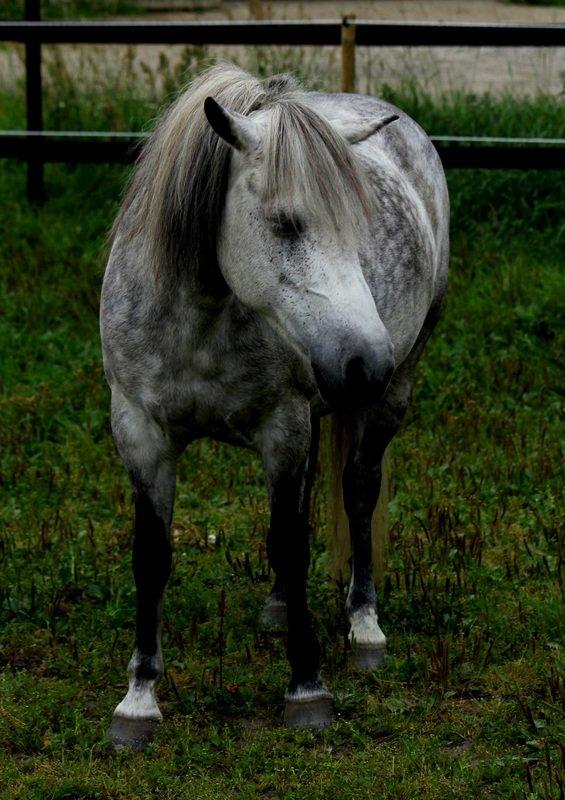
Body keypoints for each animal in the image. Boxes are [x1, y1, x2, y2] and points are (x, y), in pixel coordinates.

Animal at [99, 64, 448, 752]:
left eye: (360, 224)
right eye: (286, 224)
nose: (369, 360)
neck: (201, 319)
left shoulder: (281, 429)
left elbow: (290, 538)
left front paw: (306, 687)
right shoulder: (140, 432)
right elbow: (152, 557)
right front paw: (139, 699)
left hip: (391, 395)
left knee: (357, 491)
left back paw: (364, 625)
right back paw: (283, 607)